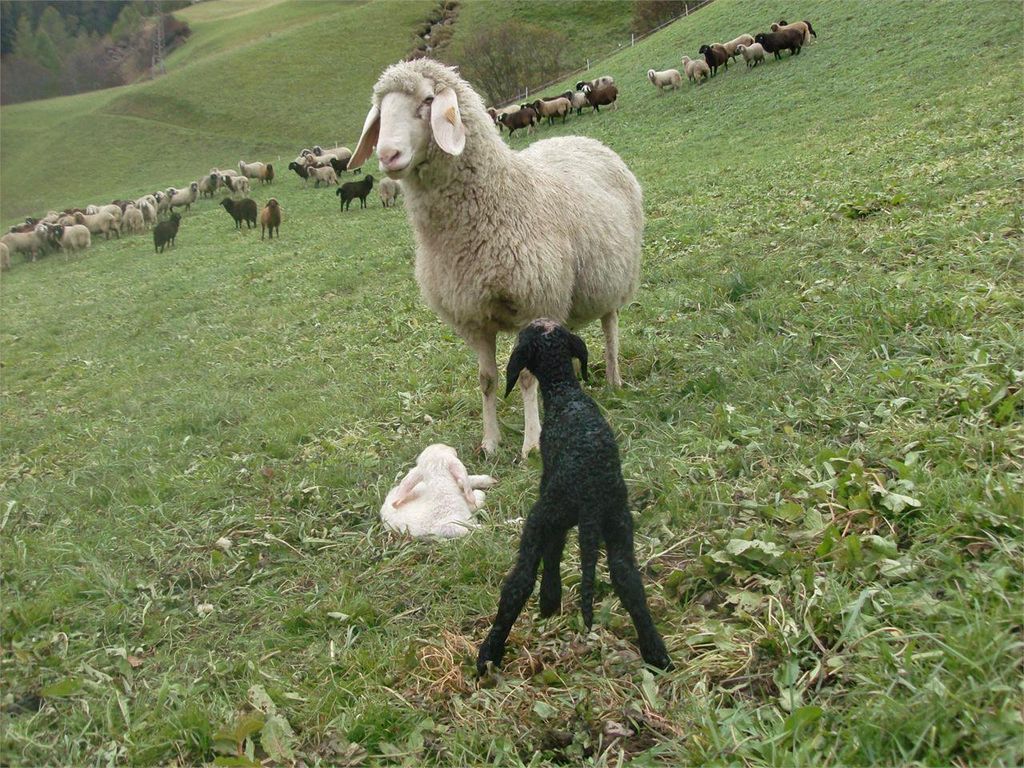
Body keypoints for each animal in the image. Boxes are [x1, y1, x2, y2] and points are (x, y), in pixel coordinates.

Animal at [349, 58, 643, 456]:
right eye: (381, 110)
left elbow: (527, 378)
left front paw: (531, 444)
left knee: (611, 325)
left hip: (612, 277)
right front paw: (490, 442)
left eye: (427, 100)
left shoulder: (534, 303)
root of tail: (584, 140)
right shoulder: (473, 318)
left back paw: (614, 378)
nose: (387, 155)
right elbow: (486, 380)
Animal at [475, 320, 672, 674]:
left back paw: (488, 653)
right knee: (628, 580)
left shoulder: (549, 499)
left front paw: (549, 599)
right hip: (619, 522)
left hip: (543, 515)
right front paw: (551, 600)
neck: (566, 392)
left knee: (519, 581)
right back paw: (656, 653)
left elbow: (551, 554)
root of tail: (591, 495)